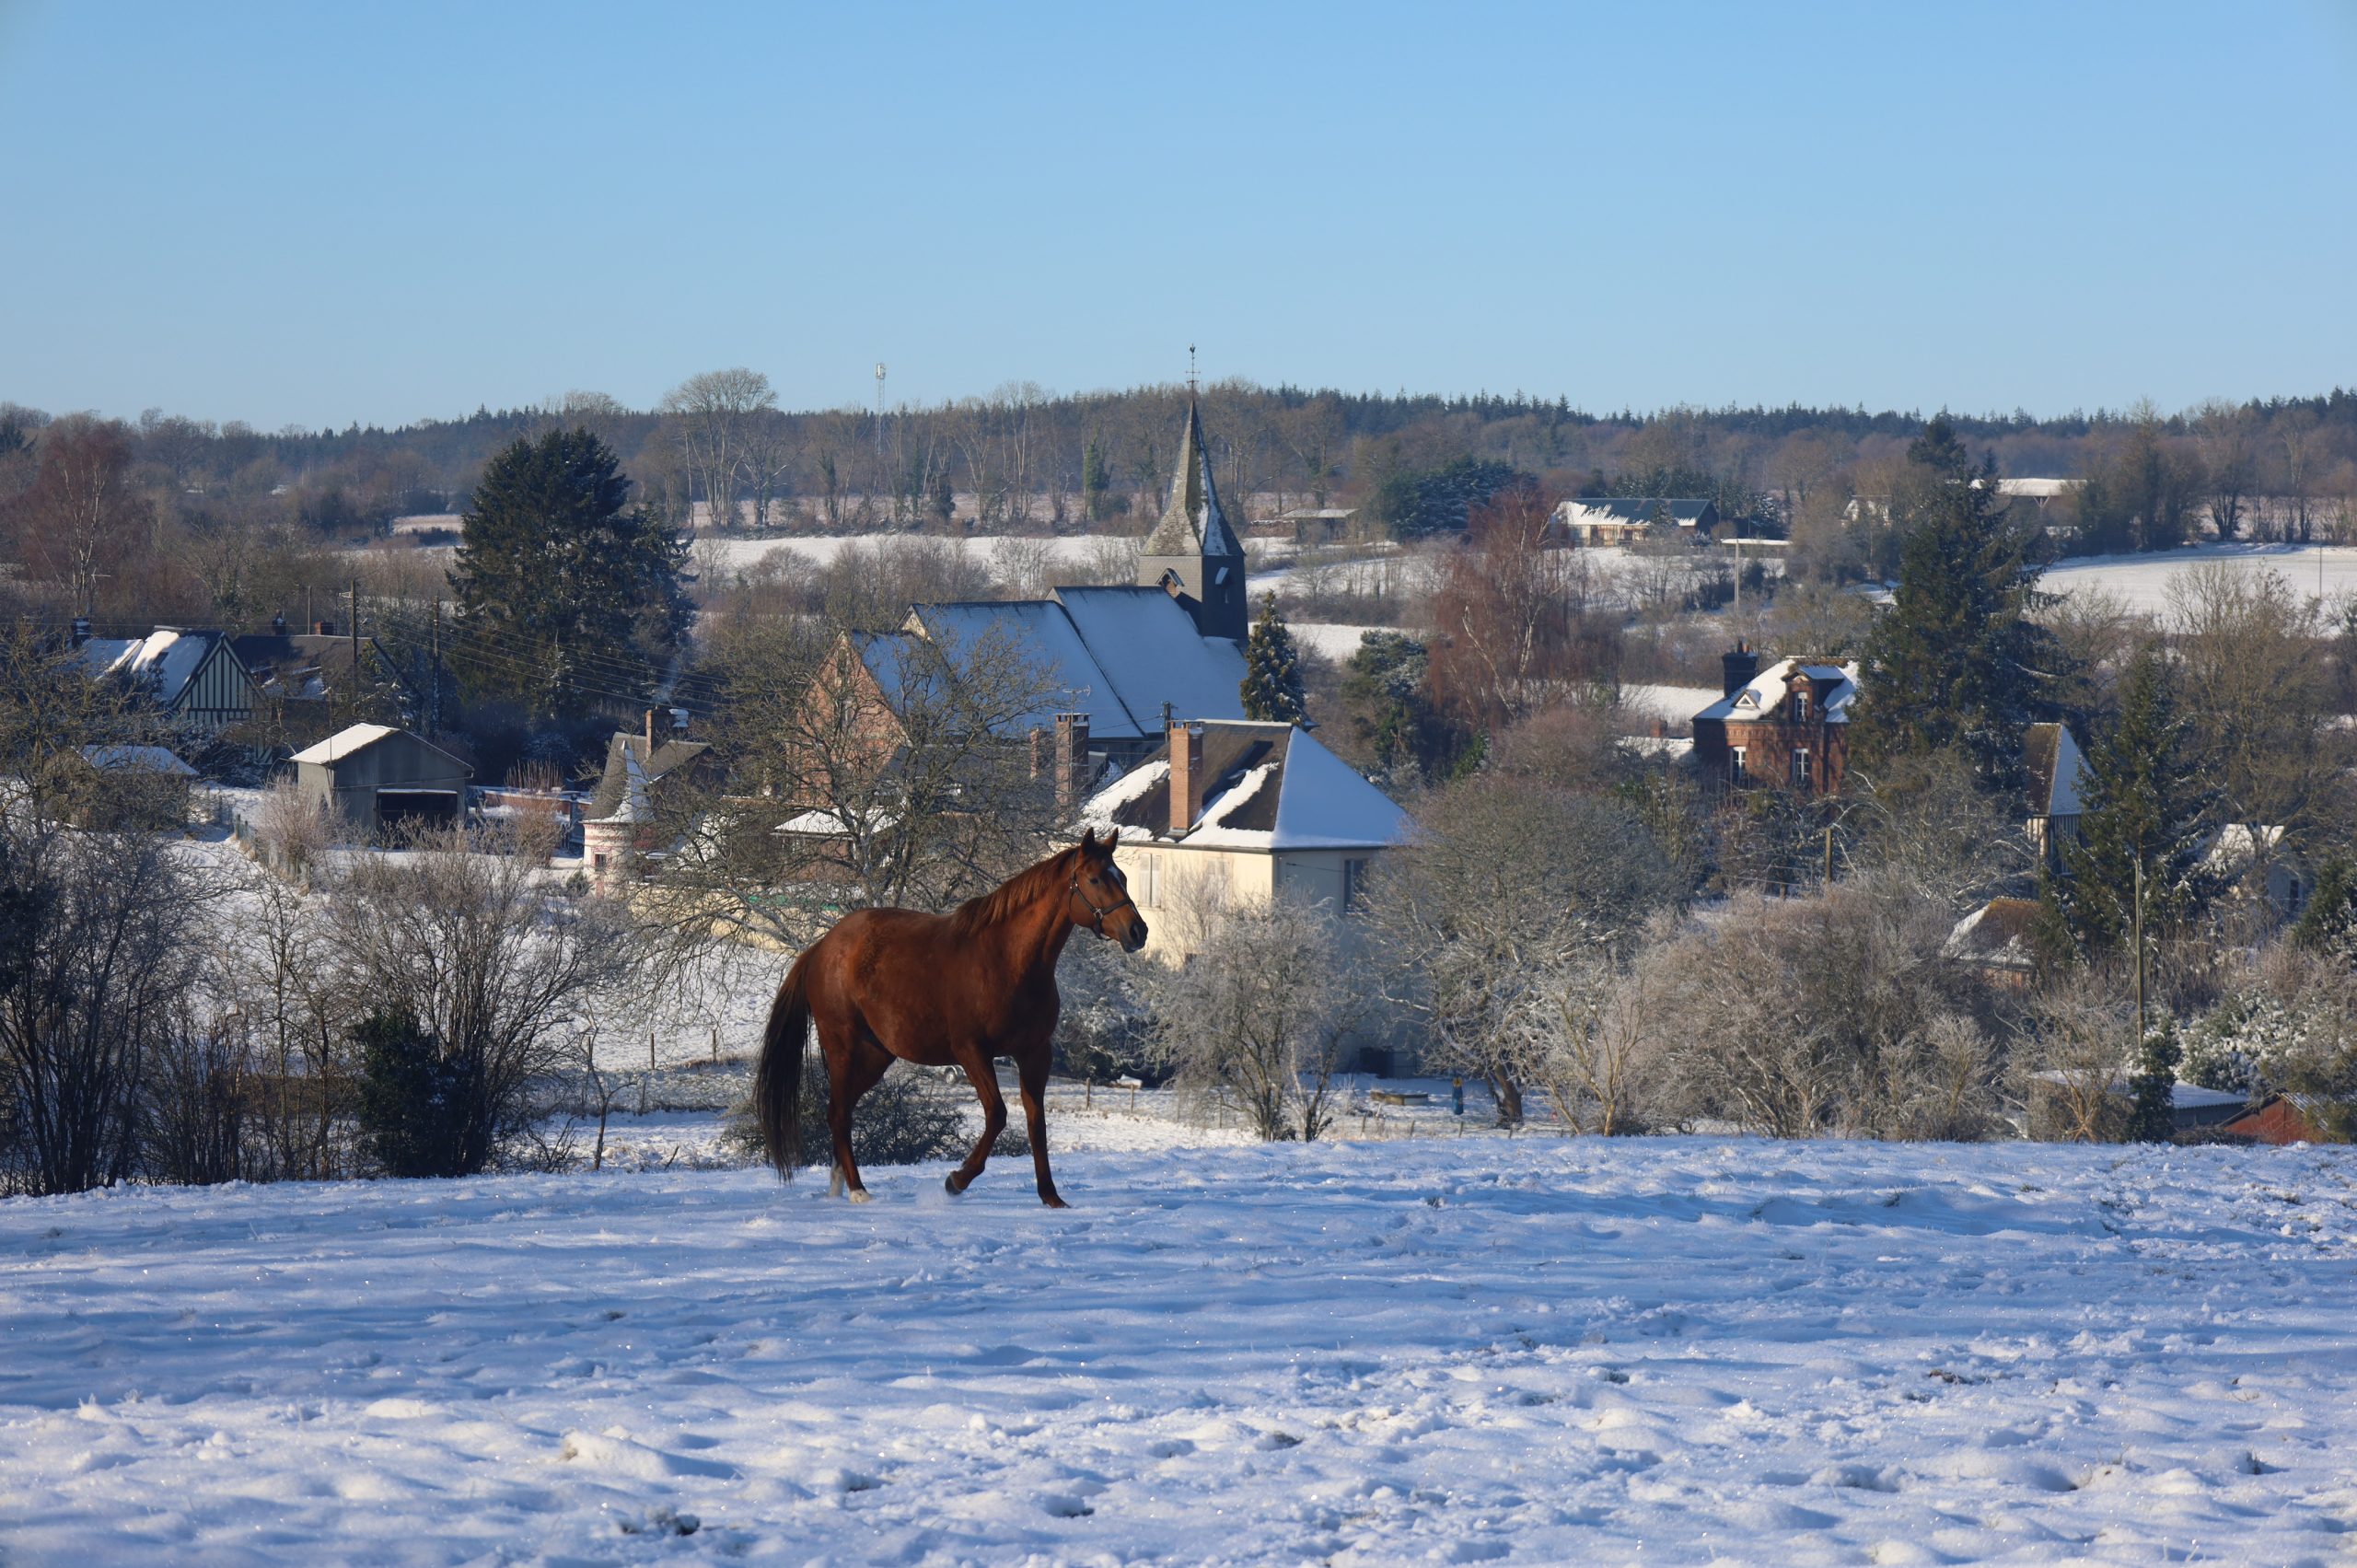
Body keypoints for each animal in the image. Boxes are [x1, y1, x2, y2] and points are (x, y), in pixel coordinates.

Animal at [754, 830, 1150, 1207]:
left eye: (1123, 877)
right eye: (1095, 879)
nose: (1138, 931)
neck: (1008, 959)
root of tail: (822, 947)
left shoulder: (1035, 1052)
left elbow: (1036, 1122)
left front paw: (1050, 1197)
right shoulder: (971, 1051)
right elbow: (997, 1114)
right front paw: (956, 1180)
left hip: (875, 1055)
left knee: (842, 1111)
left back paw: (839, 1183)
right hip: (843, 1046)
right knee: (838, 1113)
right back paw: (857, 1189)